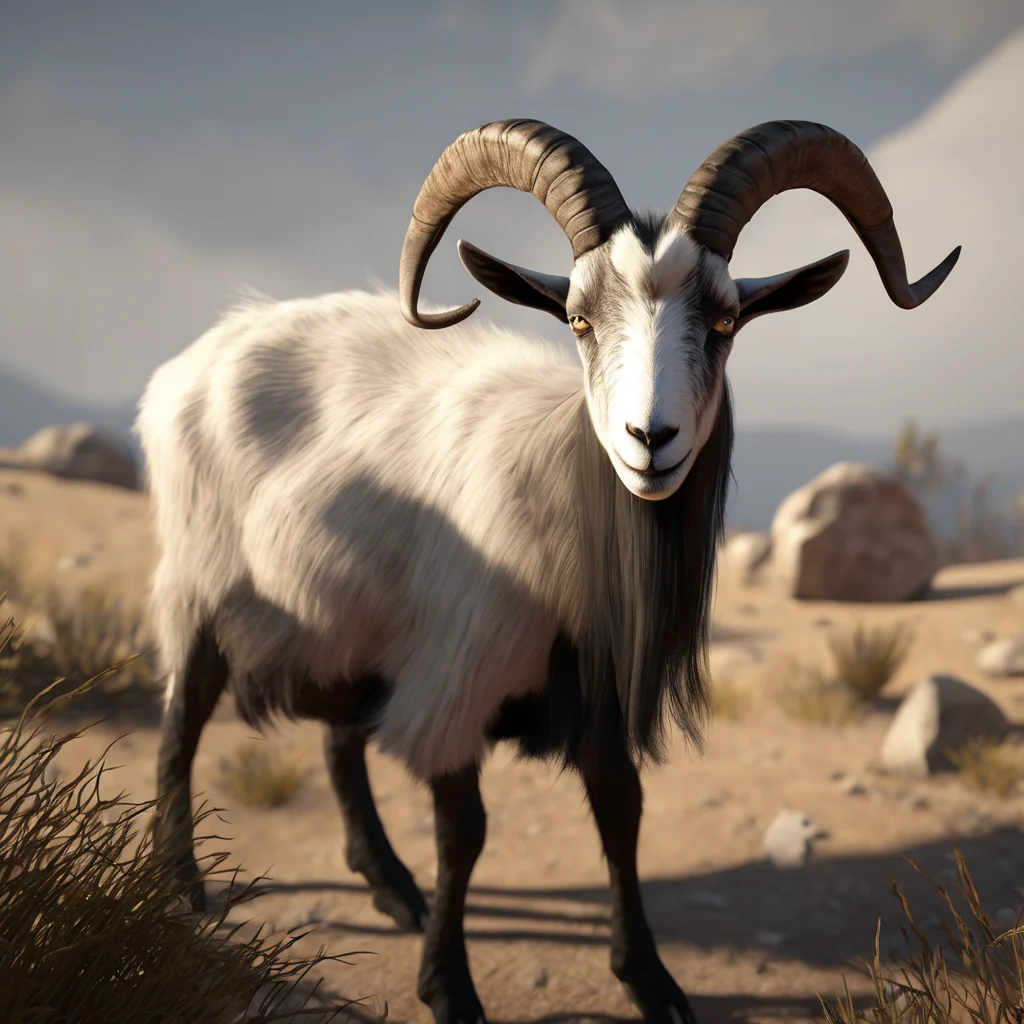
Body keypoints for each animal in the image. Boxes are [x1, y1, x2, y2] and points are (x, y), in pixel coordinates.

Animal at [139, 119, 959, 1024]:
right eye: (577, 319)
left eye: (725, 319)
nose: (650, 440)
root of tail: (206, 350)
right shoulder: (458, 675)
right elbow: (466, 834)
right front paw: (449, 990)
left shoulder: (594, 690)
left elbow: (622, 813)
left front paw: (652, 982)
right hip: (204, 579)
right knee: (184, 718)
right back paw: (184, 885)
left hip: (347, 613)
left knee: (337, 739)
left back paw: (390, 887)